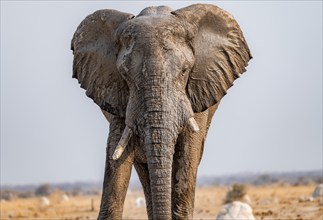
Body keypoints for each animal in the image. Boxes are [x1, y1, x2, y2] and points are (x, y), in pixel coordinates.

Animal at [71, 3, 253, 220]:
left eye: (185, 71)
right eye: (124, 74)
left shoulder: (197, 91)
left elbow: (188, 153)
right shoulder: (116, 94)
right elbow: (117, 154)